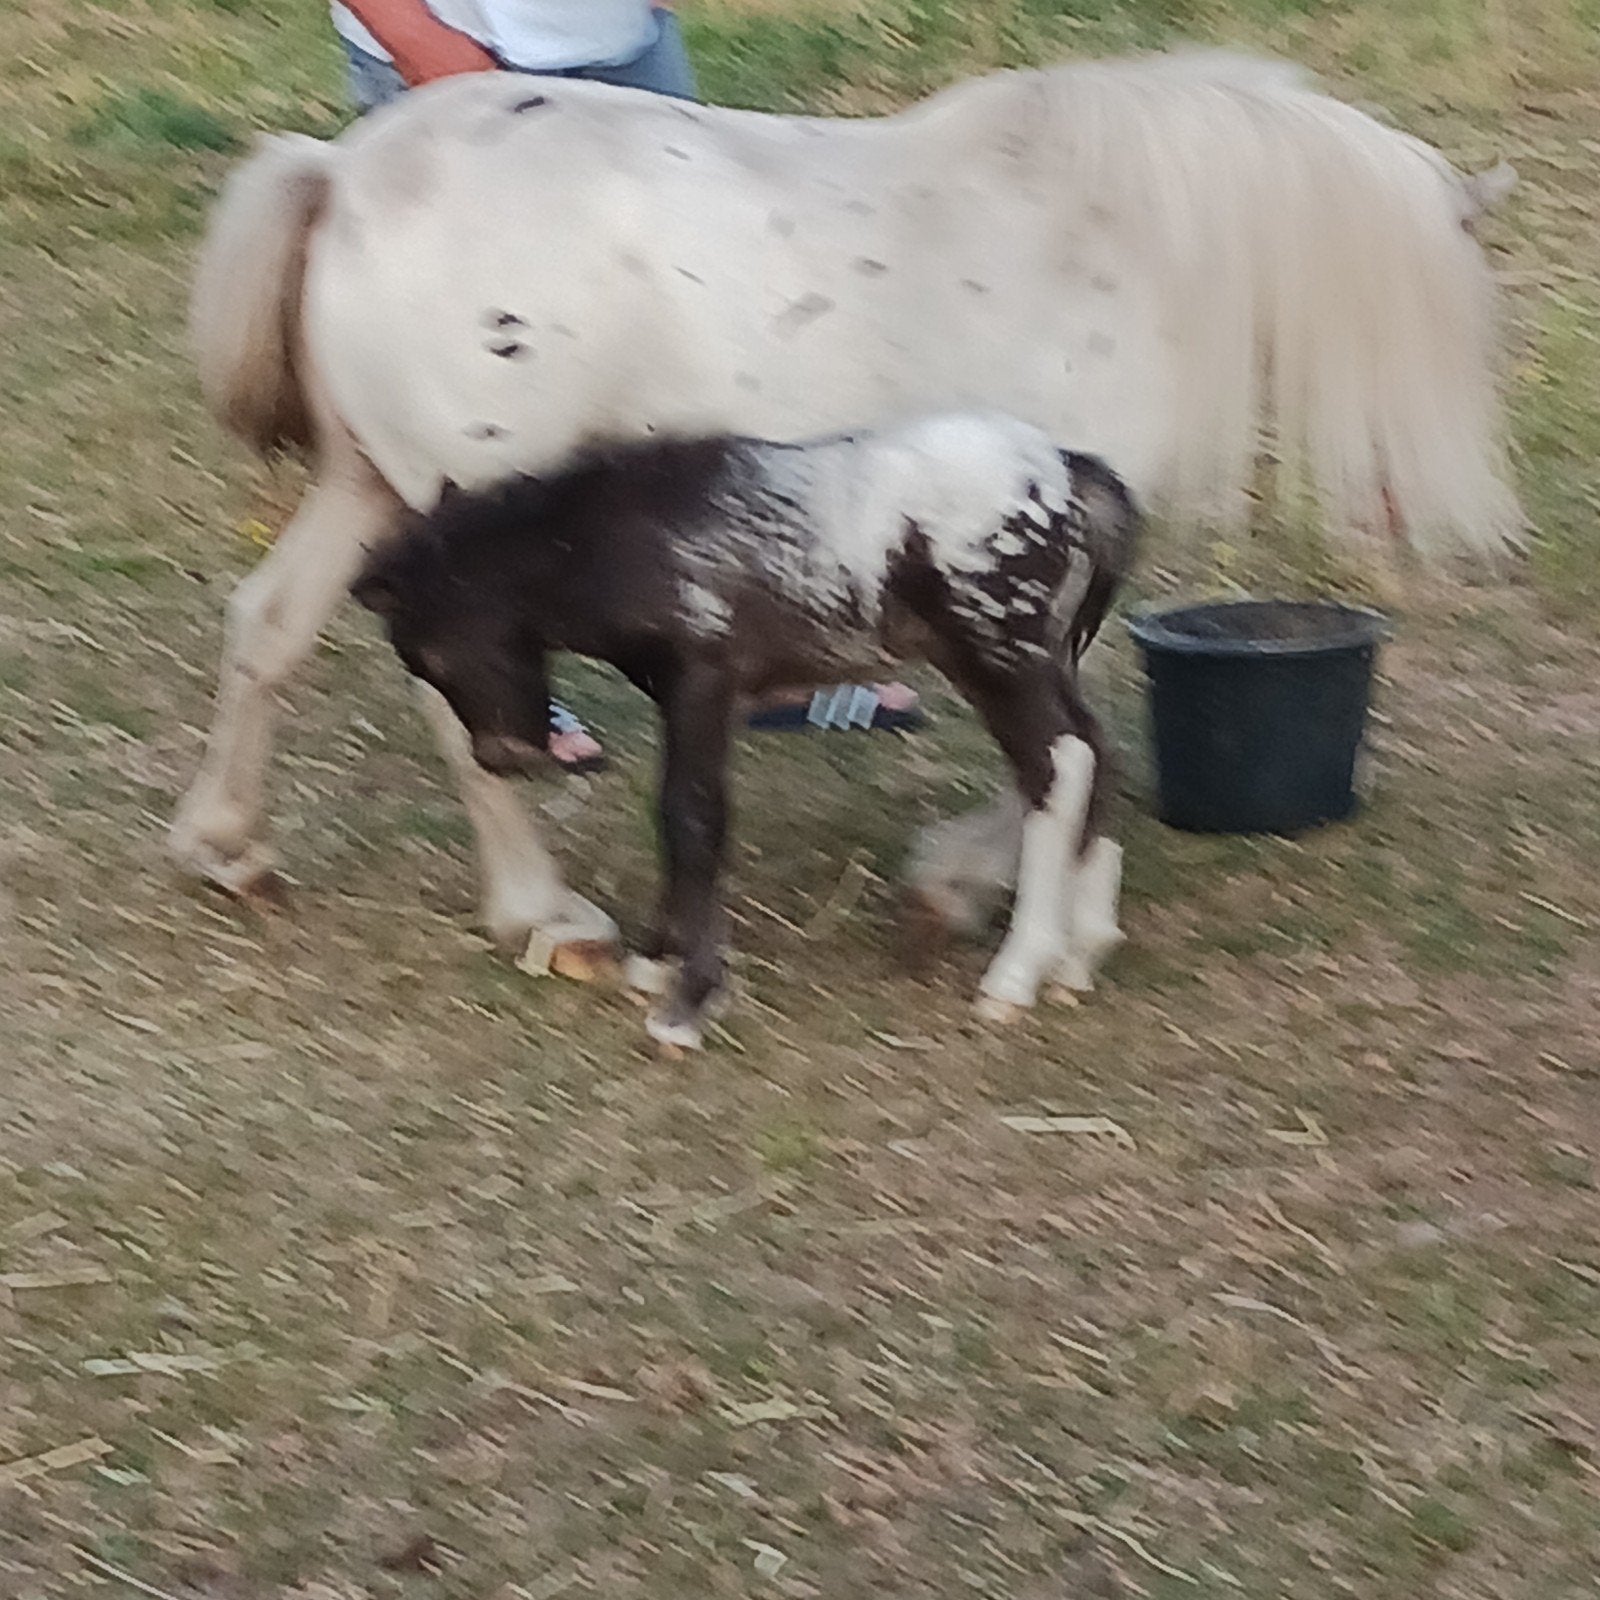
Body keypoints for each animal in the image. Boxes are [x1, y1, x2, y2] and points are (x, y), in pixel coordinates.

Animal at [170, 49, 1520, 972]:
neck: (1105, 239)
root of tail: (345, 176)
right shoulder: (1020, 570)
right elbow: (1060, 741)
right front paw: (981, 891)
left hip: (372, 492)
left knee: (270, 628)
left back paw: (229, 846)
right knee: (457, 705)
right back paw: (544, 913)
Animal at [351, 412, 1141, 1047]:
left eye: (432, 654)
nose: (503, 755)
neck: (613, 538)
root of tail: (1066, 468)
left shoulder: (702, 675)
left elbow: (692, 815)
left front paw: (685, 1006)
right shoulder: (686, 695)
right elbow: (678, 812)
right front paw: (655, 961)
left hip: (996, 656)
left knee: (1058, 764)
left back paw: (1018, 972)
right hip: (1024, 658)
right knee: (1093, 749)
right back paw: (1080, 955)